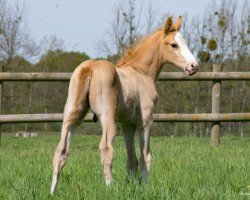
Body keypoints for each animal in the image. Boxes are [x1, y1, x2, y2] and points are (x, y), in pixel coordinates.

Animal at [50, 16, 198, 195]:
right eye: (174, 44)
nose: (193, 66)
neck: (141, 72)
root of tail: (90, 67)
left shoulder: (127, 124)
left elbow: (131, 159)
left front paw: (133, 187)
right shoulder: (145, 122)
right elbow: (145, 157)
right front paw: (144, 188)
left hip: (72, 114)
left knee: (61, 151)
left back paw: (52, 192)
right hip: (108, 118)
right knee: (106, 149)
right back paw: (109, 189)